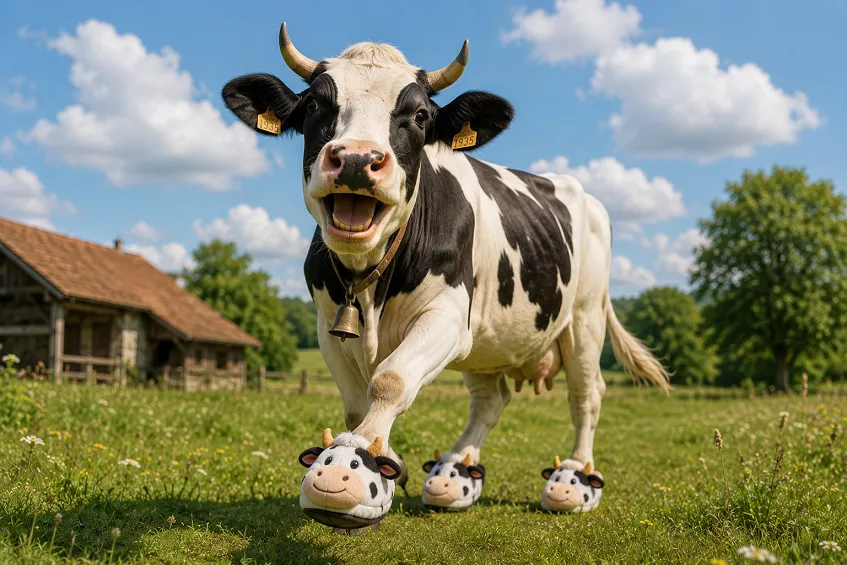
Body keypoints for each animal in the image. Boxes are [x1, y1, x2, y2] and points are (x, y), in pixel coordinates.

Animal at [222, 22, 669, 530]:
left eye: (418, 115)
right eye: (316, 104)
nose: (356, 159)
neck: (371, 283)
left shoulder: (448, 315)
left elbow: (391, 380)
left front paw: (354, 469)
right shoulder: (326, 323)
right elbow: (356, 401)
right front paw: (378, 461)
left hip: (585, 318)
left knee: (586, 396)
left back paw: (575, 478)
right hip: (490, 340)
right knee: (490, 398)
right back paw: (455, 472)